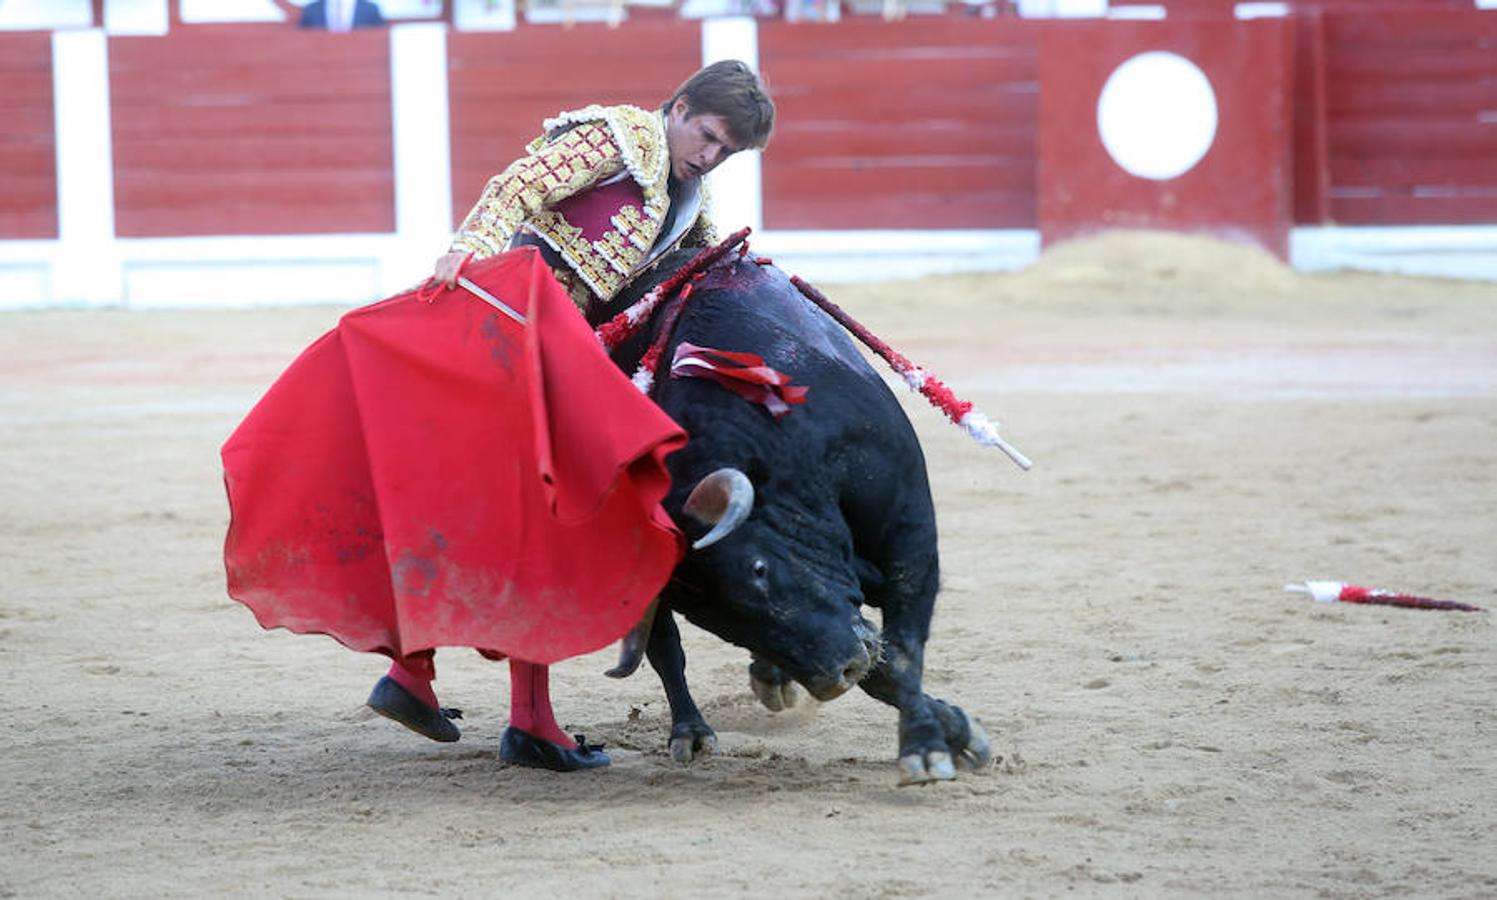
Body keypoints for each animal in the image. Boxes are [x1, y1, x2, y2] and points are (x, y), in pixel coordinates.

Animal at [586, 248, 994, 784]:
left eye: (759, 569)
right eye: (714, 622)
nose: (835, 674)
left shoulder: (909, 529)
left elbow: (901, 653)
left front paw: (931, 746)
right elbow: (882, 665)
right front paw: (950, 731)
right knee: (665, 649)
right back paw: (693, 732)